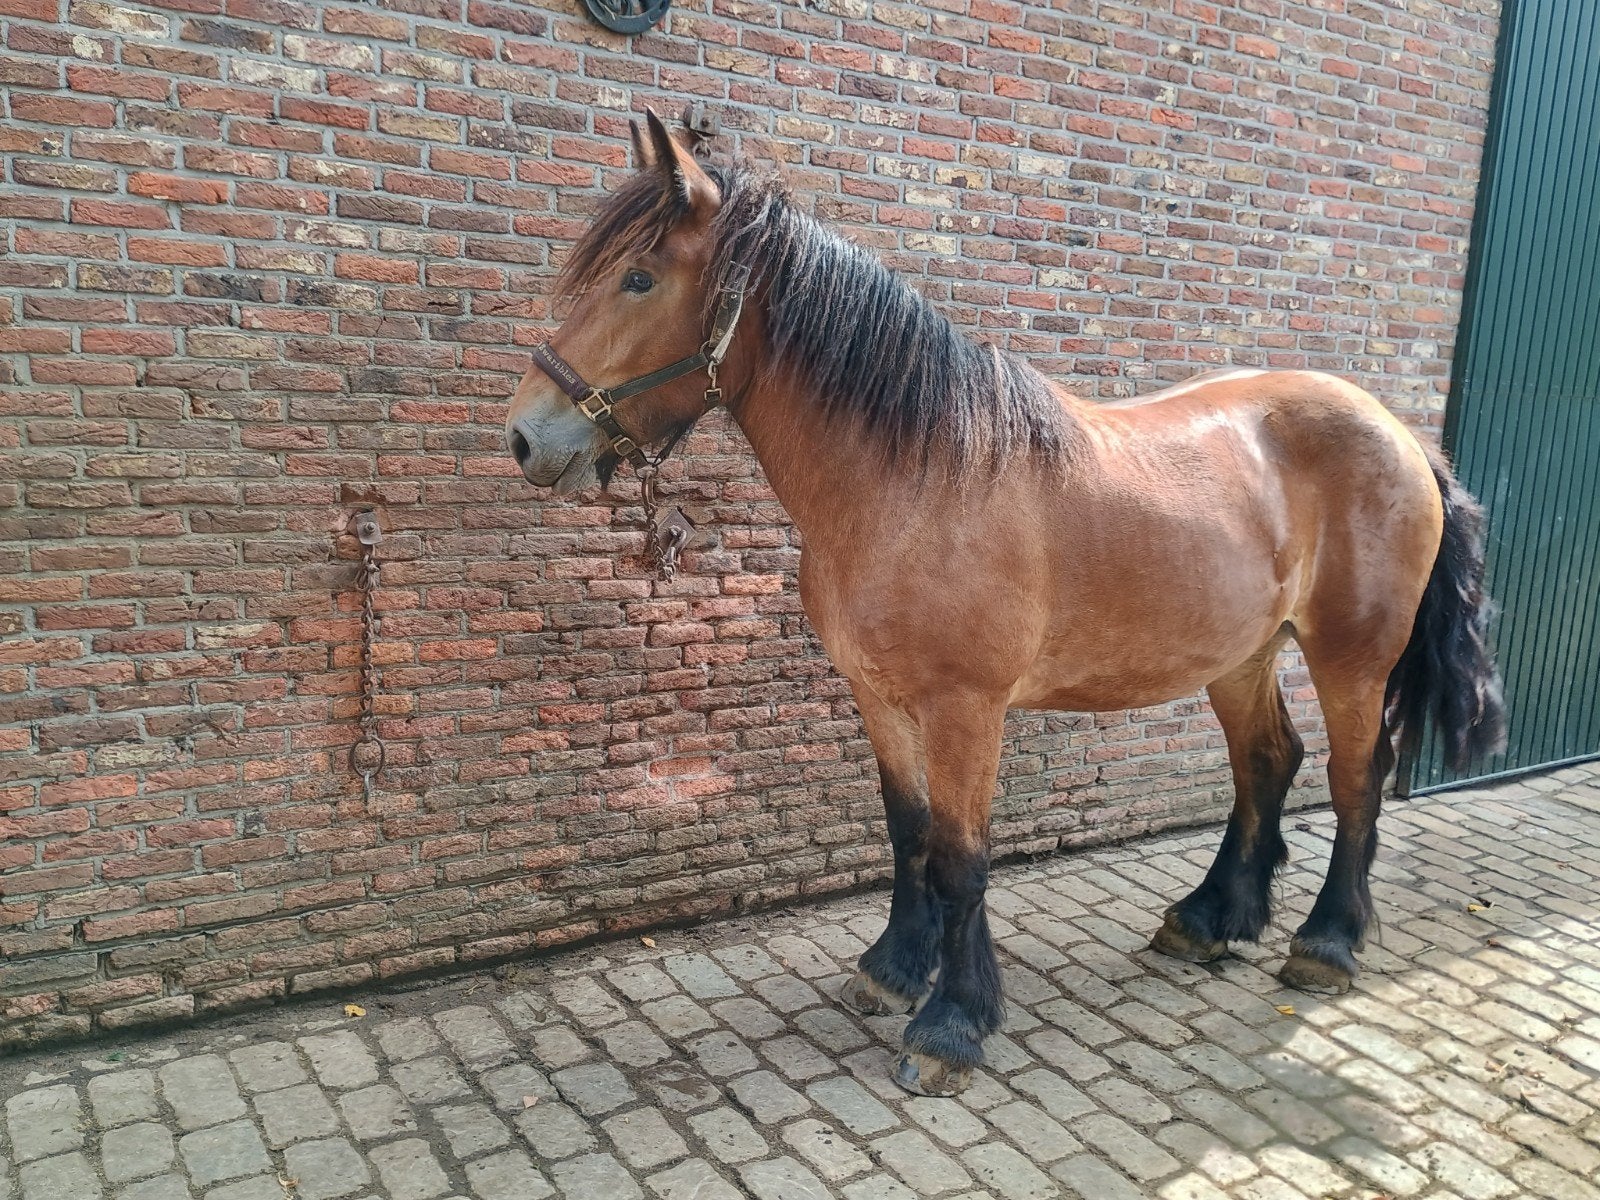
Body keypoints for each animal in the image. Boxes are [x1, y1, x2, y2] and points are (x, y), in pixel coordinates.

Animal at [504, 113, 1507, 1096]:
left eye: (638, 278)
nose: (524, 437)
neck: (912, 484)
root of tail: (1402, 434)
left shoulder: (966, 708)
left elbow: (961, 855)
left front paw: (952, 1023)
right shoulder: (877, 696)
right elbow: (908, 830)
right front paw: (893, 968)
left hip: (1351, 657)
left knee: (1353, 779)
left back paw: (1326, 943)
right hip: (1242, 653)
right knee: (1267, 762)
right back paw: (1210, 917)